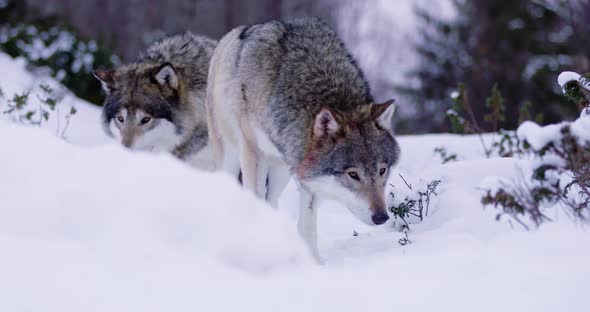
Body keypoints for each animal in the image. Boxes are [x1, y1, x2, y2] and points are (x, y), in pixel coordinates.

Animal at [207, 18, 402, 260]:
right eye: (353, 175)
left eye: (382, 170)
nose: (381, 217)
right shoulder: (253, 155)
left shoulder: (307, 172)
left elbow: (307, 226)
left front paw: (314, 263)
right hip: (231, 157)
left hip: (282, 169)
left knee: (271, 201)